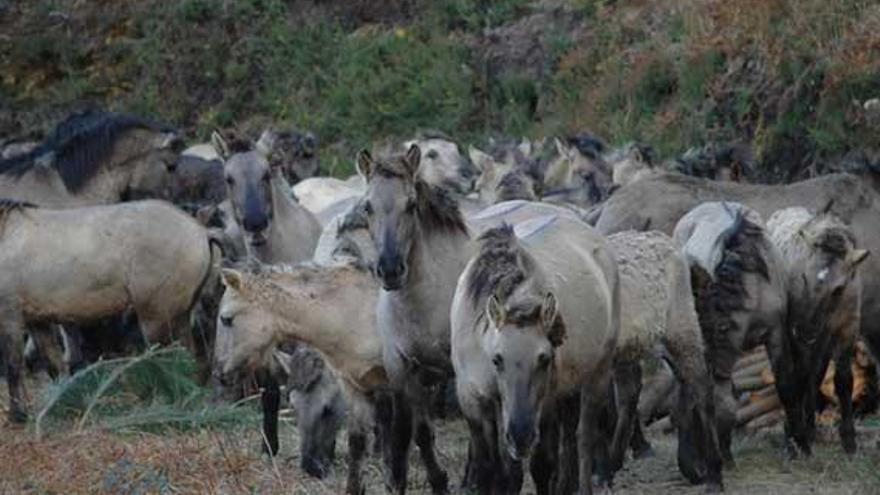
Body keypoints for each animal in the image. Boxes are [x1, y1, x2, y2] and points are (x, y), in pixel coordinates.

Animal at [0, 199, 215, 422]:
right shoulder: (37, 320)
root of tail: (200, 230)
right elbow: (54, 364)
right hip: (180, 316)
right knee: (189, 357)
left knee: (168, 359)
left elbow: (13, 366)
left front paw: (18, 414)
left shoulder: (10, 316)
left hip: (156, 319)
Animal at [450, 221, 616, 495]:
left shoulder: (544, 404)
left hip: (597, 374)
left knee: (584, 437)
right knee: (570, 437)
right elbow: (492, 469)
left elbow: (540, 465)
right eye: (497, 359)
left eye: (545, 359)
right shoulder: (472, 398)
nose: (521, 436)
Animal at [768, 207, 868, 456]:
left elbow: (843, 380)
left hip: (823, 339)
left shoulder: (847, 330)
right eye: (804, 277)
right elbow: (801, 376)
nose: (805, 330)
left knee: (817, 373)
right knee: (803, 374)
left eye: (839, 288)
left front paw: (849, 440)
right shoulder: (799, 335)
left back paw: (811, 427)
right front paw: (793, 435)